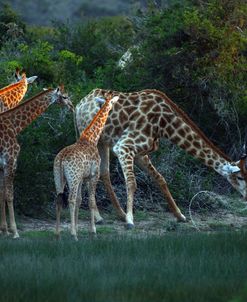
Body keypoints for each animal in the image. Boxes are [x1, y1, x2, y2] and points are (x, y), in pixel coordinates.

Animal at [0, 87, 73, 238]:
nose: (72, 106)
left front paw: (4, 230)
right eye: (64, 96)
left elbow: (2, 194)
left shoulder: (2, 166)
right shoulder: (10, 162)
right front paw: (15, 232)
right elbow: (10, 195)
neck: (15, 125)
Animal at [54, 94, 119, 241]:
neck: (91, 139)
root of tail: (61, 159)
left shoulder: (81, 178)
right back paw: (73, 236)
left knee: (59, 200)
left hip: (59, 177)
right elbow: (91, 202)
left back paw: (58, 234)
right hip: (72, 178)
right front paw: (92, 232)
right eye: (112, 102)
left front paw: (77, 228)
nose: (113, 110)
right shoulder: (93, 175)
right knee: (70, 199)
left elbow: (80, 200)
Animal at [76, 88, 247, 228]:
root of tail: (80, 103)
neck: (165, 124)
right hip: (92, 140)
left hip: (104, 142)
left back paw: (118, 214)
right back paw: (99, 217)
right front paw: (130, 220)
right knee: (89, 174)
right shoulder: (124, 146)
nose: (246, 196)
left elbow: (161, 179)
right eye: (239, 177)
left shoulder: (140, 153)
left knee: (104, 172)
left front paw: (180, 215)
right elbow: (132, 183)